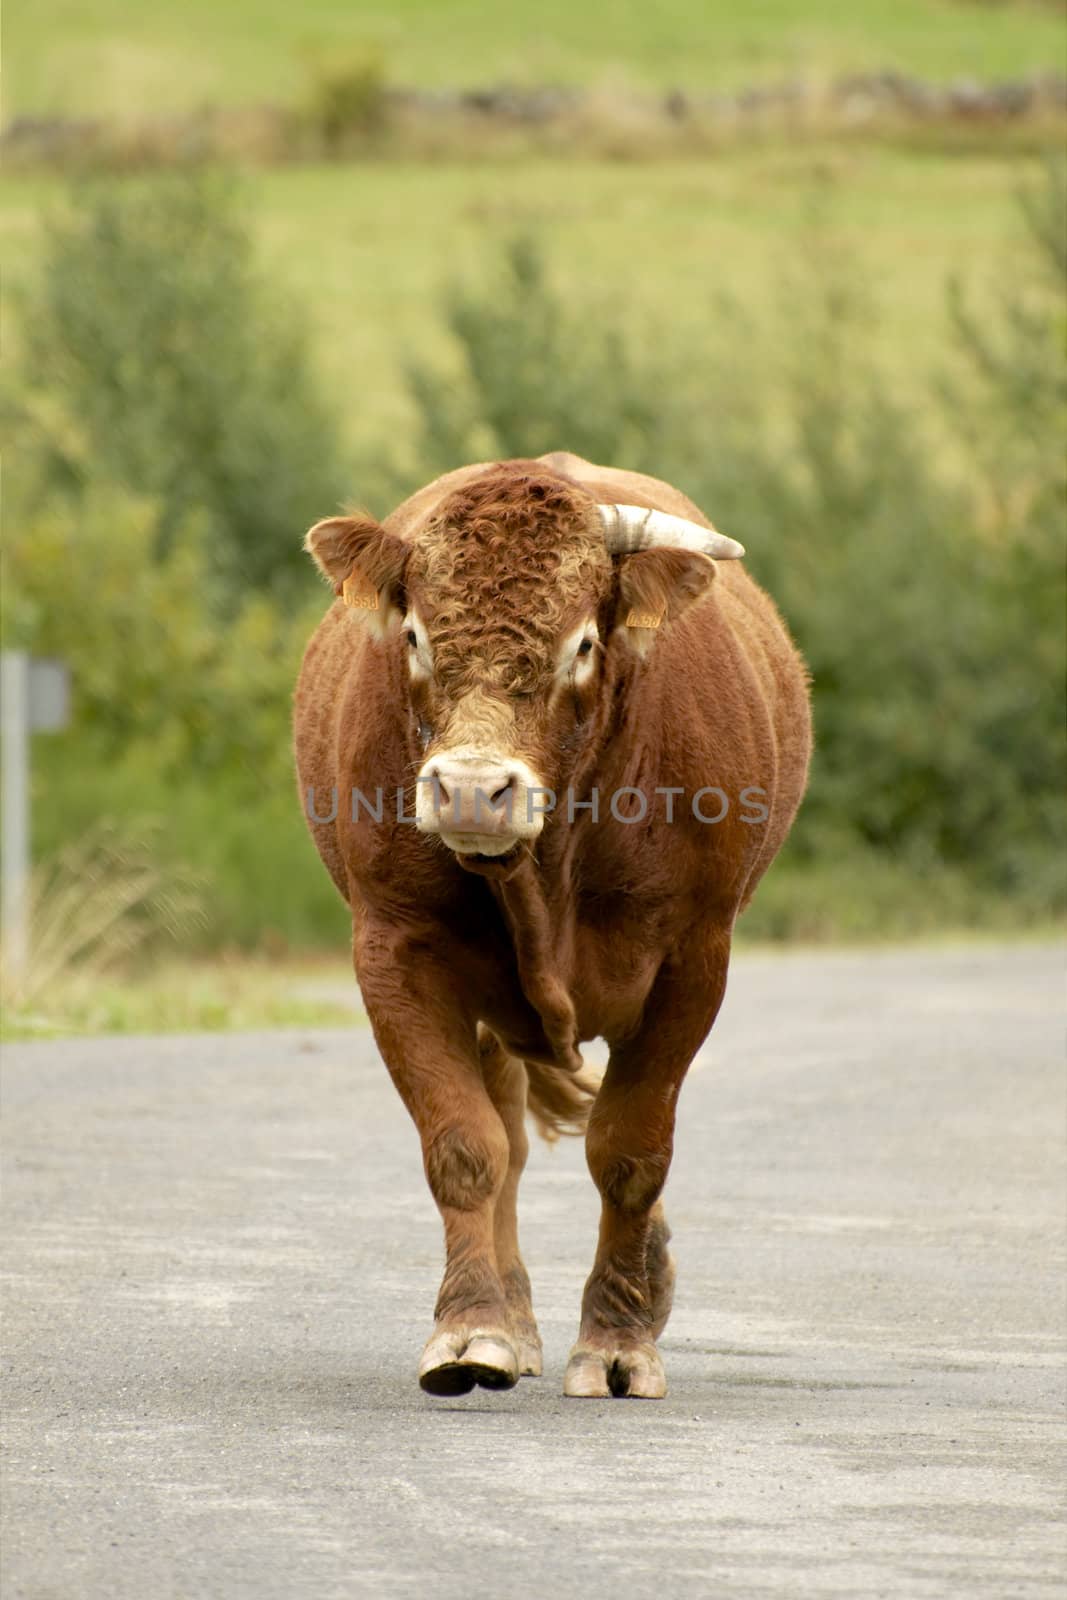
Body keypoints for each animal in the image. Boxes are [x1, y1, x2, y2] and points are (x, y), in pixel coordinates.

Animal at [292, 454, 809, 1401]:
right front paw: (470, 1331)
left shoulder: (693, 961)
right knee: (505, 1134)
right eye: (414, 635)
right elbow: (466, 1146)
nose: (468, 789)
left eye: (582, 645)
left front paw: (617, 1341)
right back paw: (515, 1321)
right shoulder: (394, 950)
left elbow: (630, 1151)